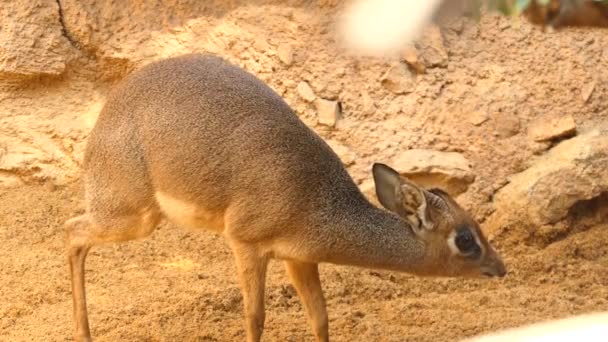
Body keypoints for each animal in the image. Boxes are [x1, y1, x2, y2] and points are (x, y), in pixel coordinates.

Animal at [64, 54, 506, 342]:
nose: (500, 268)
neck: (318, 201)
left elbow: (320, 317)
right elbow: (255, 316)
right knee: (71, 231)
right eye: (465, 238)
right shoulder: (245, 243)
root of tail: (107, 112)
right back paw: (83, 334)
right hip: (131, 216)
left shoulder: (300, 258)